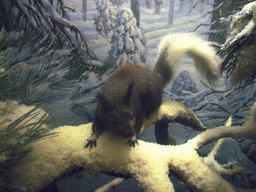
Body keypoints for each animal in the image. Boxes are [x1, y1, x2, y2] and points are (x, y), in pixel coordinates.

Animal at [85, 33, 219, 148]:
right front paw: (92, 138)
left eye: (132, 116)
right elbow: (95, 128)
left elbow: (138, 125)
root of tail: (156, 76)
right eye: (113, 121)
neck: (117, 97)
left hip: (154, 98)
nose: (129, 132)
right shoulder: (99, 113)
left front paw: (133, 137)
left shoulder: (138, 112)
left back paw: (148, 113)